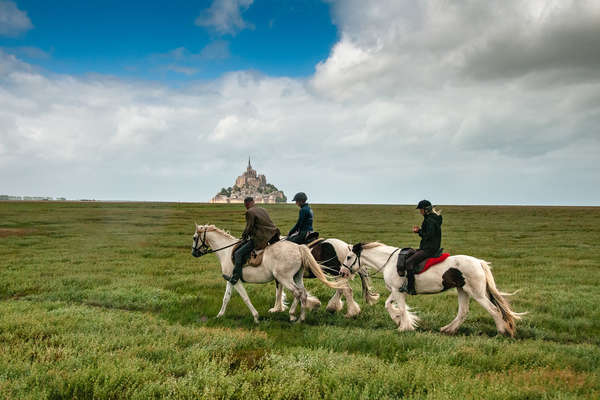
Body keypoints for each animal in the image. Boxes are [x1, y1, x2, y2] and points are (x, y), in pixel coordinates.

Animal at [192, 223, 346, 324]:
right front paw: (220, 315)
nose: (194, 253)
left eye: (194, 238)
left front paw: (256, 317)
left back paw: (294, 315)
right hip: (296, 277)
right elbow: (226, 298)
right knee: (303, 293)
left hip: (286, 277)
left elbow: (246, 298)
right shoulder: (231, 280)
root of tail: (299, 248)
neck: (226, 251)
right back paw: (301, 318)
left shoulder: (236, 280)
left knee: (300, 292)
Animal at [342, 242, 524, 336]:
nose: (342, 272)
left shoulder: (397, 291)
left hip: (477, 293)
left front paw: (404, 326)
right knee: (463, 312)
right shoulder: (396, 290)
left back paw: (502, 331)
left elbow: (401, 308)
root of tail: (479, 262)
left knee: (494, 310)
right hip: (463, 290)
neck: (390, 261)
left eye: (349, 257)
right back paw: (448, 329)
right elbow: (389, 305)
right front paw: (399, 320)